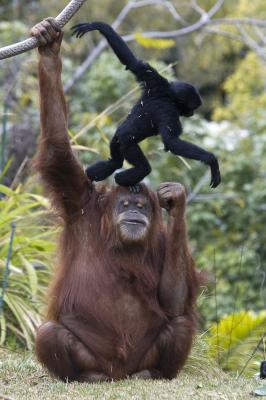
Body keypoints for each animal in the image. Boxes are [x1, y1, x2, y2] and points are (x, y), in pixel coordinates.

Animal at [71, 22, 221, 188]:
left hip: (115, 141)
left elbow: (133, 63)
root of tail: (120, 135)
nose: (192, 114)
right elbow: (171, 142)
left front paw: (96, 26)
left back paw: (90, 175)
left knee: (114, 162)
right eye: (193, 108)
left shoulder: (154, 80)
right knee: (143, 168)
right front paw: (211, 160)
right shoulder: (169, 112)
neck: (169, 95)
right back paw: (121, 180)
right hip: (127, 144)